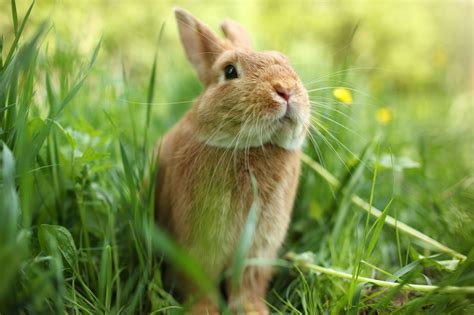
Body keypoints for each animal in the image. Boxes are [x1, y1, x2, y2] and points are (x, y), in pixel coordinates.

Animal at [156, 7, 312, 315]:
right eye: (229, 71)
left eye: (287, 63)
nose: (285, 90)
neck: (252, 148)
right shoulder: (198, 244)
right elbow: (199, 282)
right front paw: (204, 311)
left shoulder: (259, 248)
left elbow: (248, 284)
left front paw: (254, 310)